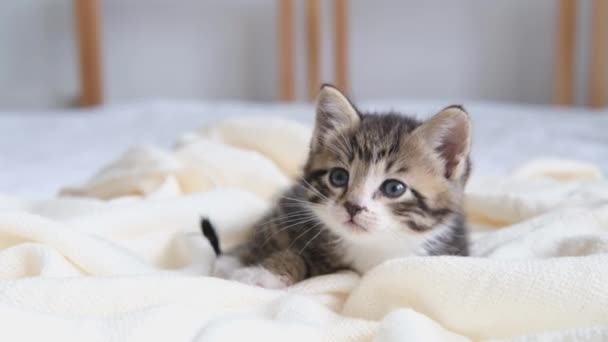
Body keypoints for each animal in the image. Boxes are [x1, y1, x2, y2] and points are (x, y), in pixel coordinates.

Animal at [204, 84, 470, 288]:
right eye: (339, 177)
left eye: (394, 188)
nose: (353, 206)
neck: (370, 249)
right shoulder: (289, 213)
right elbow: (281, 245)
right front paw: (258, 269)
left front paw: (261, 272)